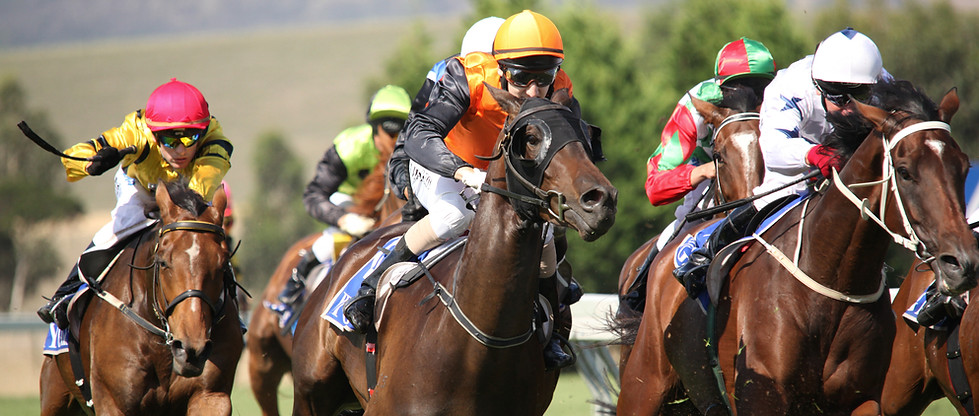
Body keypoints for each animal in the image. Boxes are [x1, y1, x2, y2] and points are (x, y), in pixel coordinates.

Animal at [39, 180, 242, 415]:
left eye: (223, 264)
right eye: (163, 262)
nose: (192, 349)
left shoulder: (211, 395)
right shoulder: (112, 401)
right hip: (55, 396)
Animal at [288, 86, 616, 415]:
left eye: (586, 135)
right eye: (532, 138)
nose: (601, 200)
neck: (480, 344)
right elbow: (424, 129)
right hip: (309, 394)